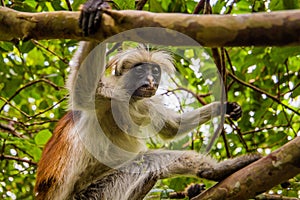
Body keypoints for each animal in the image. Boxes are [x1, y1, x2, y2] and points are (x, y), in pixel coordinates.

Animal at [34, 0, 260, 199]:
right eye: (141, 70)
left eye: (155, 72)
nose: (151, 81)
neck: (129, 100)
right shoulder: (107, 95)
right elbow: (83, 88)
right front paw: (94, 9)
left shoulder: (145, 102)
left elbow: (171, 127)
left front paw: (224, 107)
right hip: (91, 194)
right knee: (150, 159)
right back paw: (214, 171)